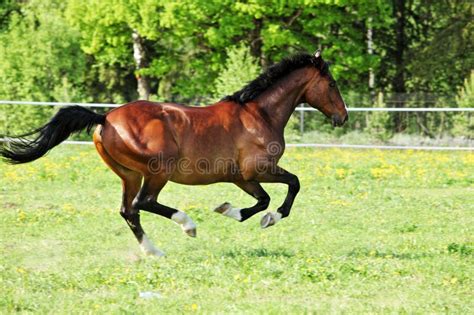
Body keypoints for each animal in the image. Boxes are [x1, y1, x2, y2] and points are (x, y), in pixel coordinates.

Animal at [0, 49, 348, 256]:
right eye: (331, 83)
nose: (342, 117)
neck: (259, 115)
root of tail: (105, 118)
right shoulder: (258, 169)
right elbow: (293, 185)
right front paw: (268, 219)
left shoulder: (242, 177)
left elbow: (261, 199)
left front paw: (230, 210)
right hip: (158, 171)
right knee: (144, 203)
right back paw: (187, 225)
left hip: (129, 174)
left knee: (129, 210)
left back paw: (154, 252)